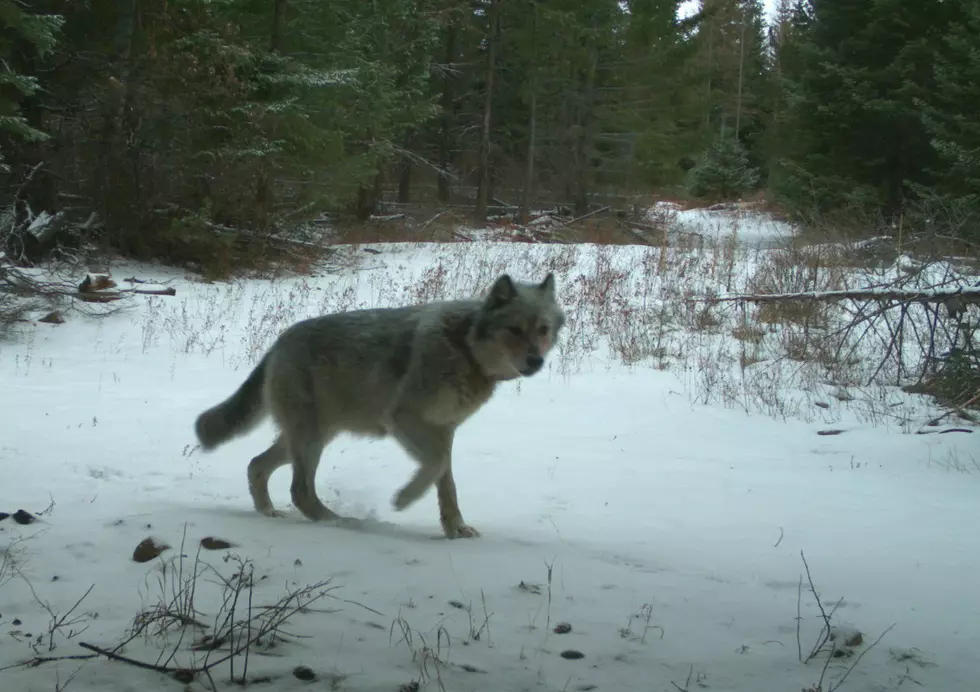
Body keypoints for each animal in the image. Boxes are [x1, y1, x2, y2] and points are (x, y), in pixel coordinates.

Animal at [193, 274, 560, 536]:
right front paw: (404, 499)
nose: (536, 361)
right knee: (299, 490)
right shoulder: (405, 419)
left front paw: (455, 527)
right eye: (515, 330)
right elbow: (435, 466)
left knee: (257, 465)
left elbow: (446, 481)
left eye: (543, 330)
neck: (463, 348)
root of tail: (277, 343)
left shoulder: (444, 431)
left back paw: (269, 512)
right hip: (311, 440)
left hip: (309, 437)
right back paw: (339, 522)